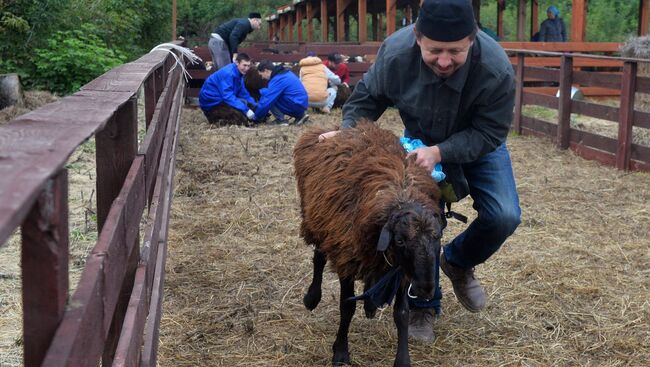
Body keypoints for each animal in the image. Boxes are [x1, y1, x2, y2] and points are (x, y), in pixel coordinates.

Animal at [292, 122, 440, 366]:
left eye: (437, 238)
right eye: (400, 240)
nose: (426, 289)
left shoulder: (401, 269)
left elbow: (402, 313)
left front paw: (402, 359)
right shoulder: (347, 255)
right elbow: (347, 306)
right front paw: (341, 352)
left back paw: (370, 303)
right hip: (319, 220)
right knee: (319, 256)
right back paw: (312, 298)